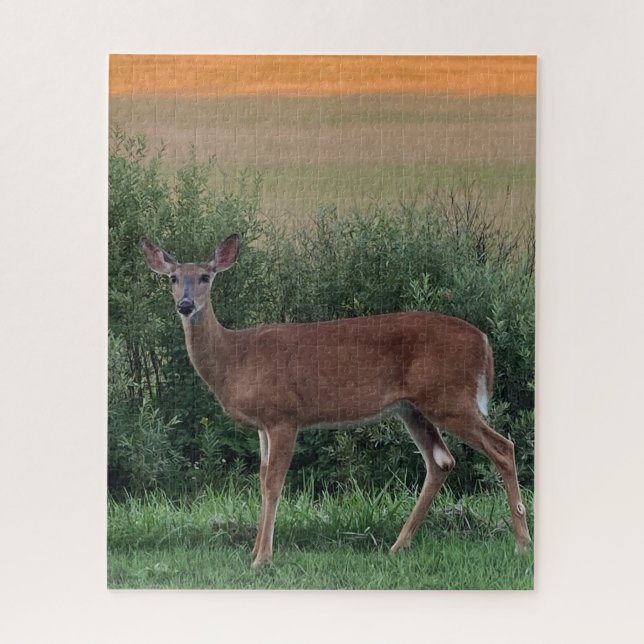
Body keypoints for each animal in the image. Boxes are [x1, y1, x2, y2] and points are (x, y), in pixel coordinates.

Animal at [142, 233, 531, 569]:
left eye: (205, 276)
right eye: (173, 278)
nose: (186, 304)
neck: (235, 358)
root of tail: (484, 341)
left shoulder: (284, 415)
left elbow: (273, 484)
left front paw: (262, 558)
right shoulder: (263, 425)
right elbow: (262, 478)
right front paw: (254, 550)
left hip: (450, 397)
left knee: (502, 447)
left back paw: (521, 542)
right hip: (412, 407)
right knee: (442, 460)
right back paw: (397, 545)